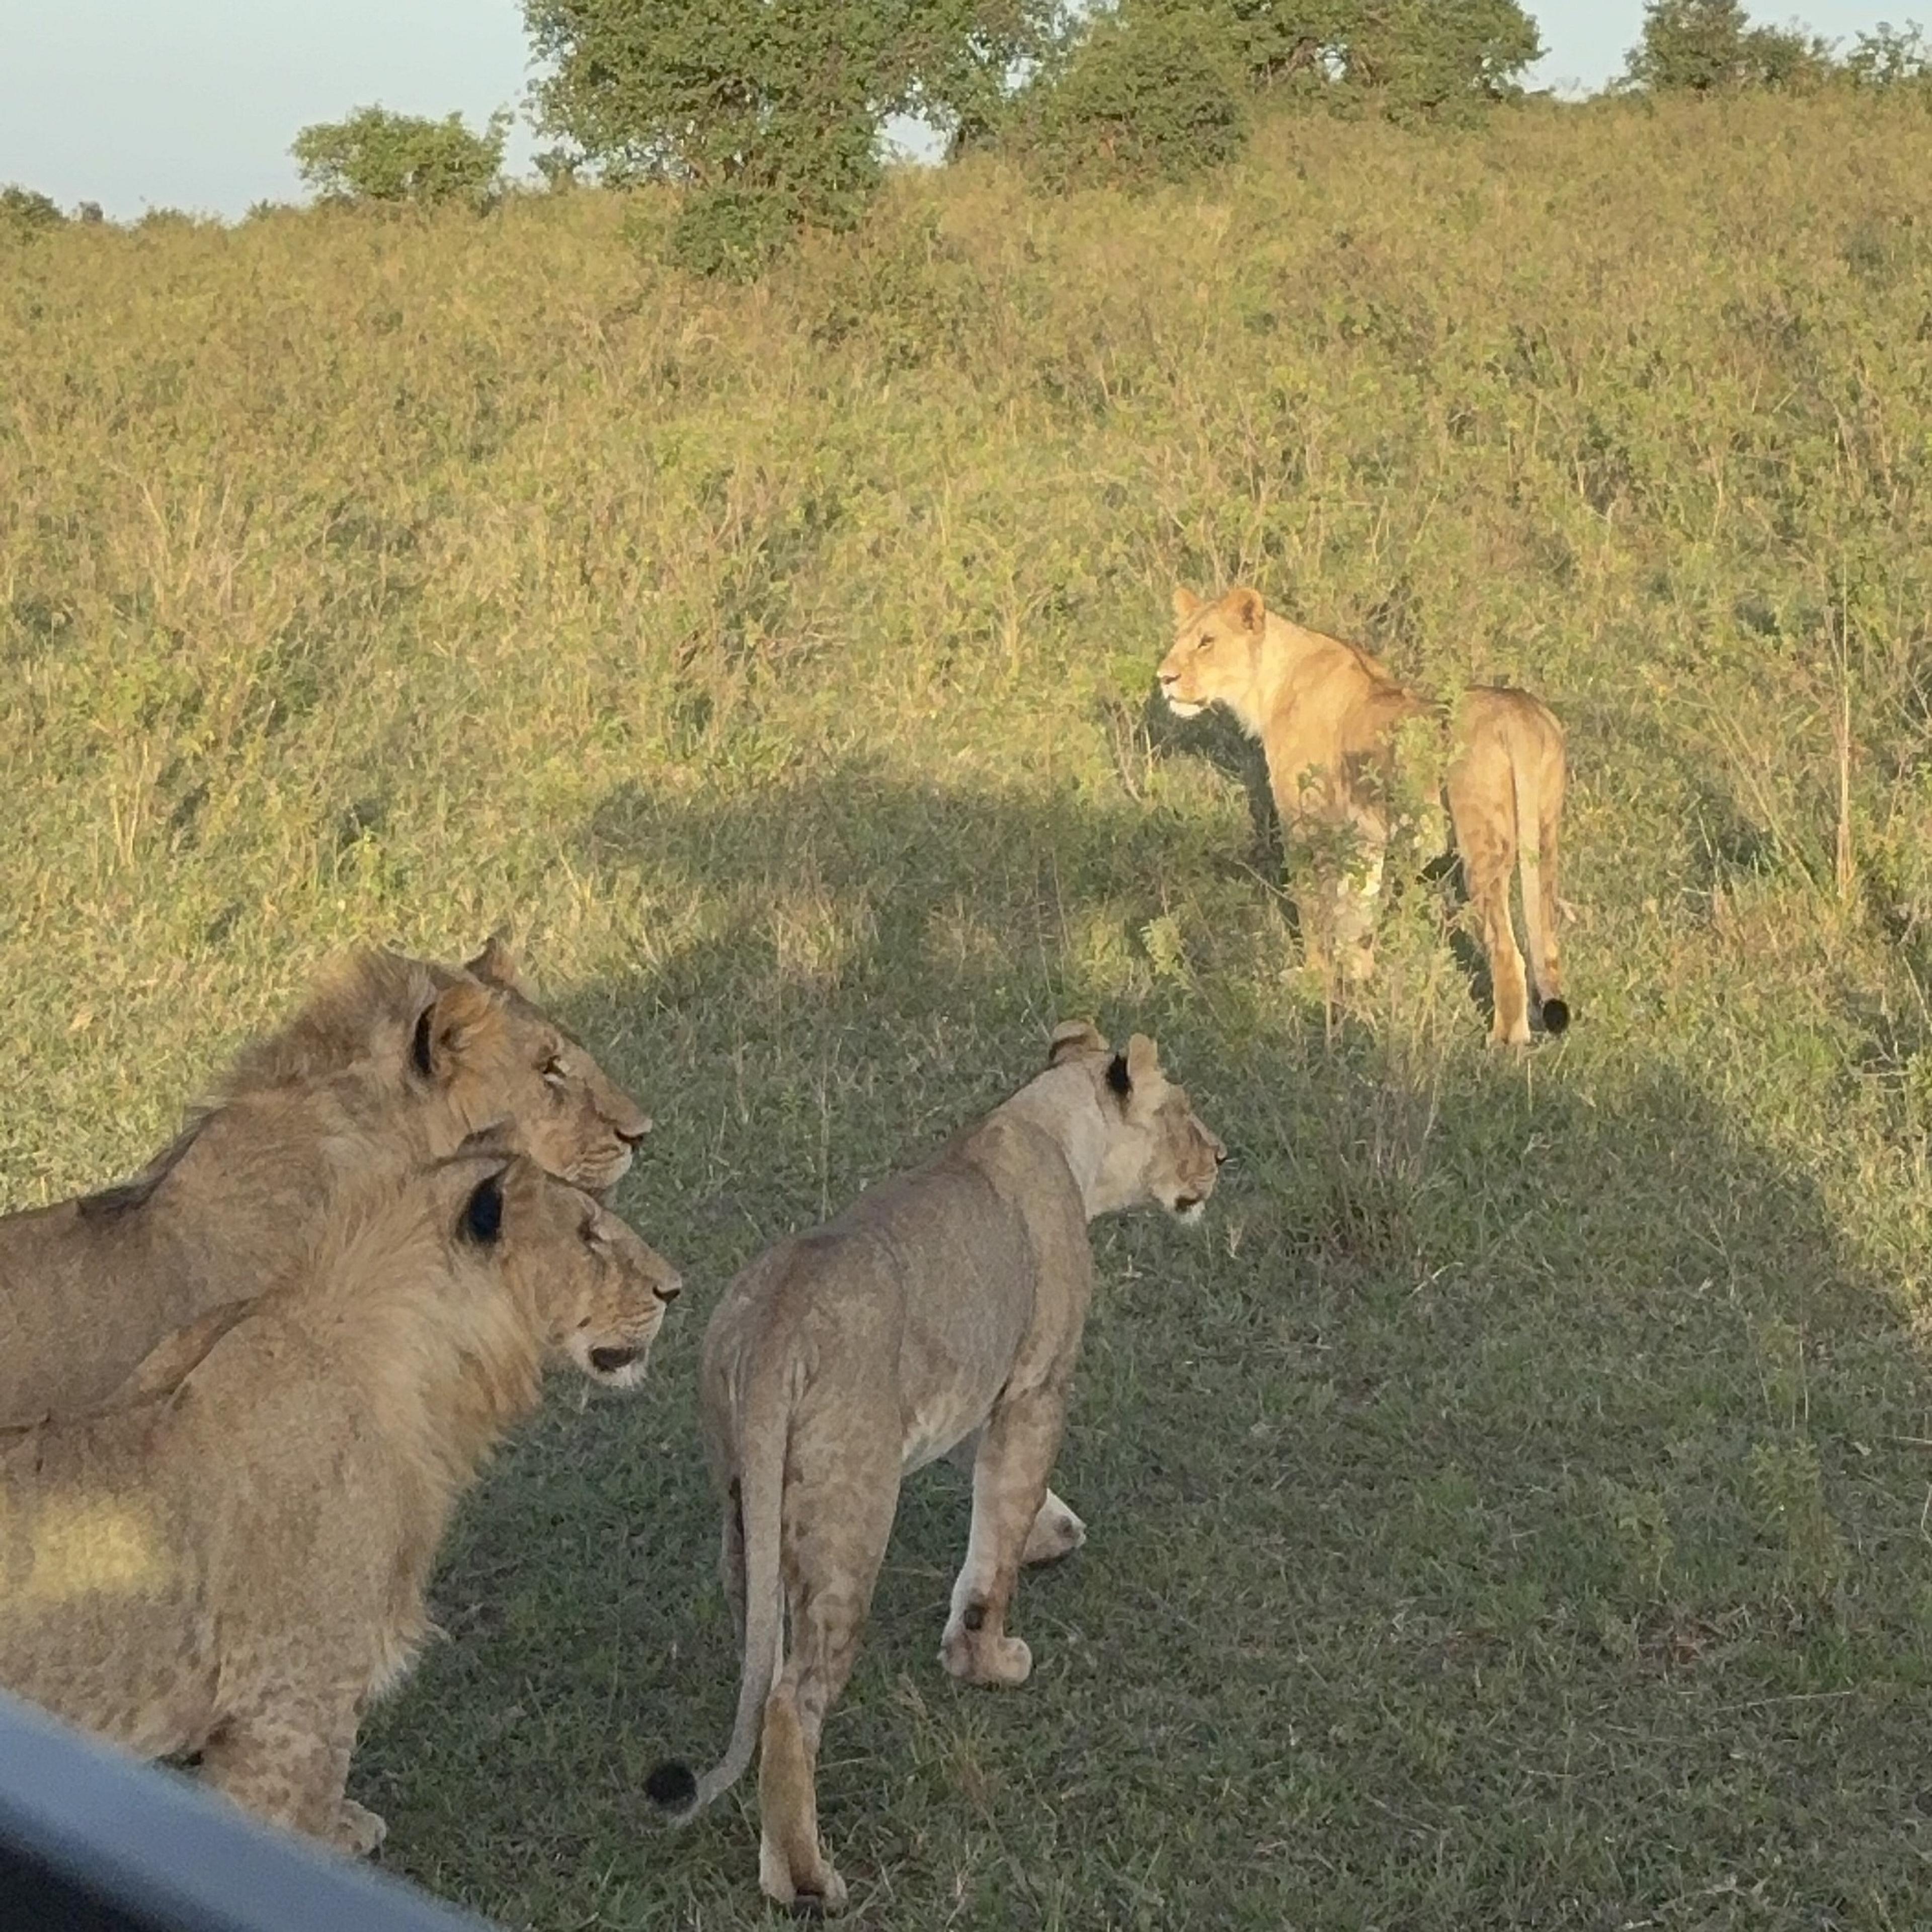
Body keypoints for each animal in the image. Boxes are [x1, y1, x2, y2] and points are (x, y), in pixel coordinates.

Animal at [644, 1022, 1224, 1914]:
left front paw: (1054, 1532)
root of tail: (778, 1321)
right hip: (851, 1516)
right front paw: (987, 1658)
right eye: (1185, 1113)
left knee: (765, 1662)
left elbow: (990, 1482)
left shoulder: (972, 1382)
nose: (1225, 1156)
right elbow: (999, 1527)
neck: (1053, 1123)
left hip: (747, 1506)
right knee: (791, 1698)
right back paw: (806, 1880)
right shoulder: (1036, 1383)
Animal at [1158, 585, 1569, 1046]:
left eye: (1207, 642)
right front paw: (1357, 978)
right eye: (1179, 640)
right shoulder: (1366, 836)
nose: (1163, 679)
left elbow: (1315, 909)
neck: (1268, 685)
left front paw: (1313, 980)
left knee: (1506, 948)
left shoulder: (1308, 826)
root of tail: (1521, 710)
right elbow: (1360, 908)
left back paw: (1504, 1042)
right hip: (1546, 835)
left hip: (1482, 844)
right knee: (1547, 938)